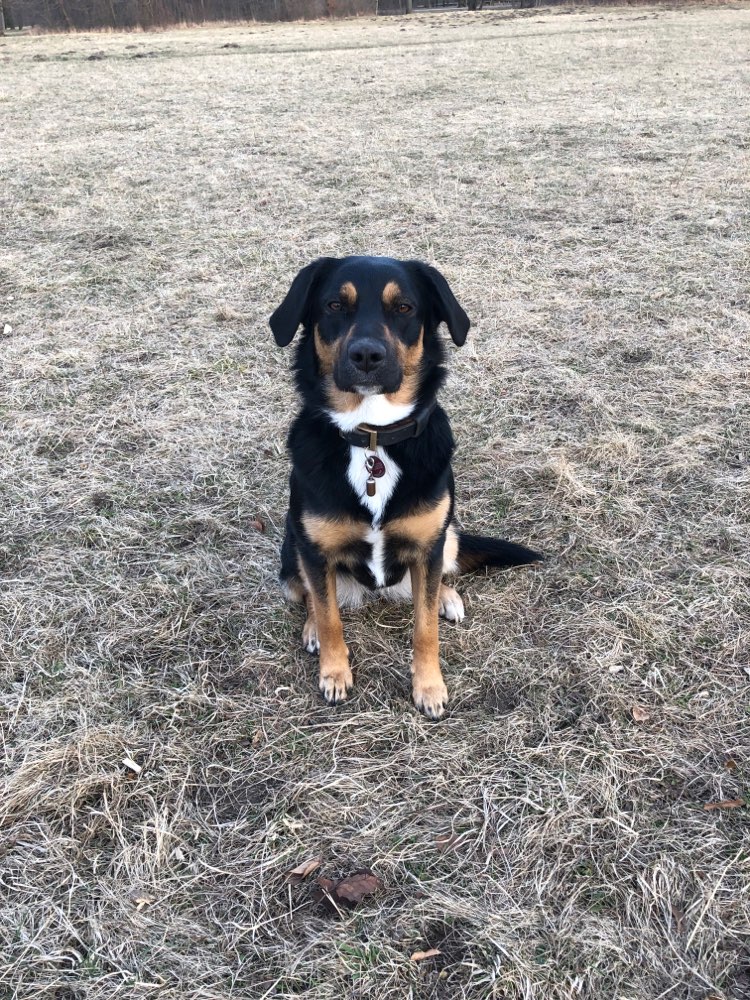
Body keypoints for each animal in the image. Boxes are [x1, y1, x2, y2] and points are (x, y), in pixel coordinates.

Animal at [270, 256, 540, 720]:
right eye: (334, 305)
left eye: (404, 308)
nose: (366, 355)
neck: (372, 436)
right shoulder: (313, 549)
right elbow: (328, 613)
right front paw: (334, 672)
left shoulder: (429, 543)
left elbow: (424, 626)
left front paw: (429, 687)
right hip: (291, 551)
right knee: (309, 595)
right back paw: (311, 630)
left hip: (448, 533)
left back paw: (447, 597)